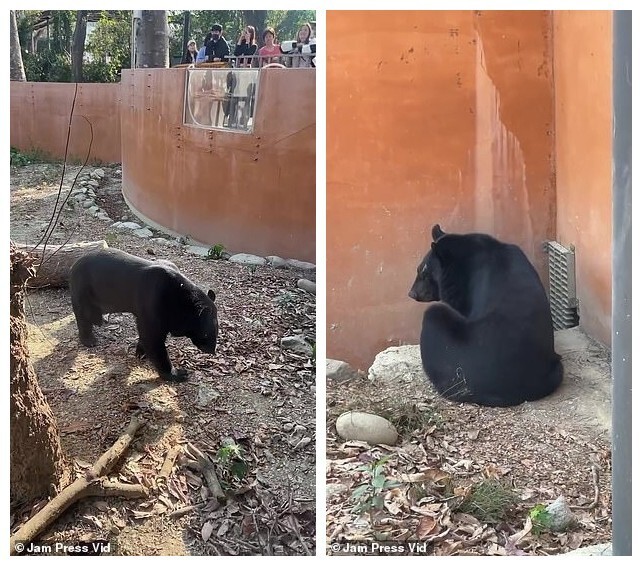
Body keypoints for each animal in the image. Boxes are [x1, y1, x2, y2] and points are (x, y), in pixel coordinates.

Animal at [69, 247, 216, 382]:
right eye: (205, 334)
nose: (211, 350)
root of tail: (74, 264)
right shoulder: (153, 302)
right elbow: (153, 338)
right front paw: (178, 373)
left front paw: (140, 353)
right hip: (83, 288)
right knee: (82, 314)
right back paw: (90, 340)